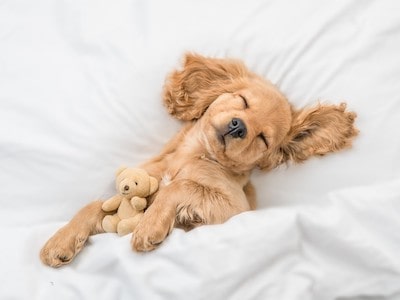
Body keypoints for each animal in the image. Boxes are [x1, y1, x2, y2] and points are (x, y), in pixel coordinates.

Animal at [39, 53, 360, 268]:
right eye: (242, 101)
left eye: (263, 138)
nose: (239, 127)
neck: (193, 154)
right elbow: (93, 205)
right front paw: (61, 240)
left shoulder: (234, 210)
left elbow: (179, 187)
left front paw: (150, 225)